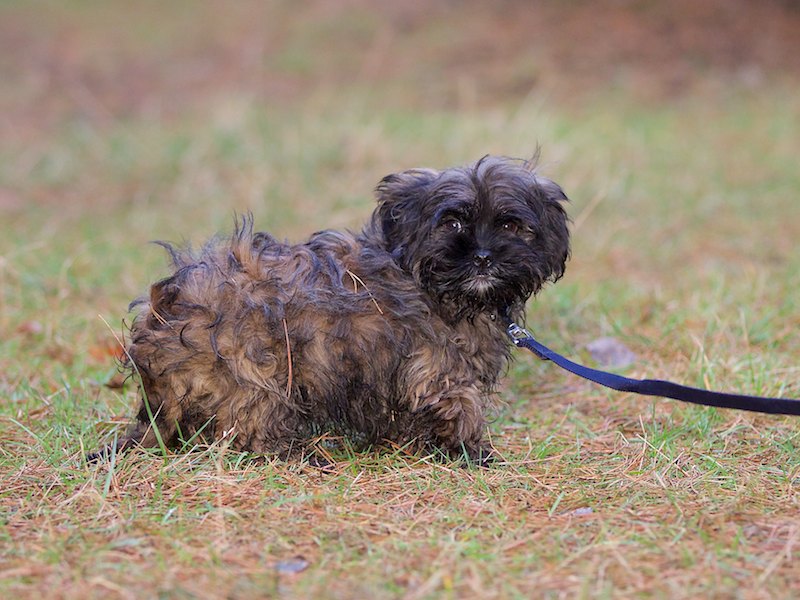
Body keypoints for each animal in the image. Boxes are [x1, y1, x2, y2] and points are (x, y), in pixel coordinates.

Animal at [94, 156, 570, 464]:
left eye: (510, 224)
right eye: (452, 222)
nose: (483, 257)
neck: (429, 282)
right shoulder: (437, 369)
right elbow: (459, 405)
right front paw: (473, 453)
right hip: (254, 371)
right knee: (250, 429)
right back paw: (299, 454)